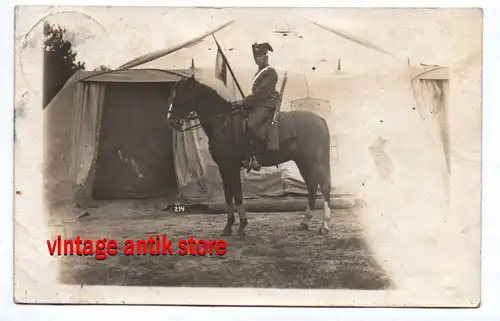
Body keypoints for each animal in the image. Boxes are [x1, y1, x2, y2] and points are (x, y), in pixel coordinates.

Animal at [166, 72, 334, 238]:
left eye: (186, 97)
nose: (172, 121)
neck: (223, 123)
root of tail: (319, 119)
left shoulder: (230, 167)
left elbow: (236, 196)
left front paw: (238, 227)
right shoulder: (225, 168)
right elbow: (230, 196)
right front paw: (232, 226)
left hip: (316, 162)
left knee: (324, 187)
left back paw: (324, 225)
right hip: (303, 162)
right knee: (312, 186)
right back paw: (305, 221)